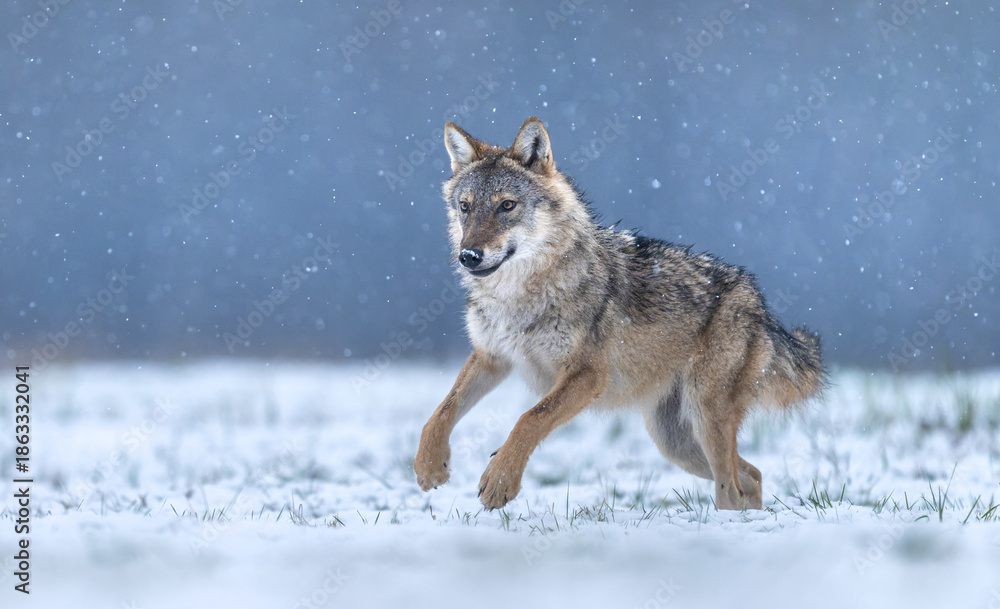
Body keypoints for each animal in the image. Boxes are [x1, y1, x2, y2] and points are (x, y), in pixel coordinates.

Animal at [413, 117, 824, 510]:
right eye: (465, 207)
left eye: (507, 206)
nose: (469, 256)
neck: (515, 297)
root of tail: (760, 303)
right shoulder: (492, 357)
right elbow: (440, 411)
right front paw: (429, 466)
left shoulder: (587, 375)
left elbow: (530, 419)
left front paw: (500, 480)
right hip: (676, 442)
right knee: (752, 476)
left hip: (706, 419)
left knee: (732, 489)